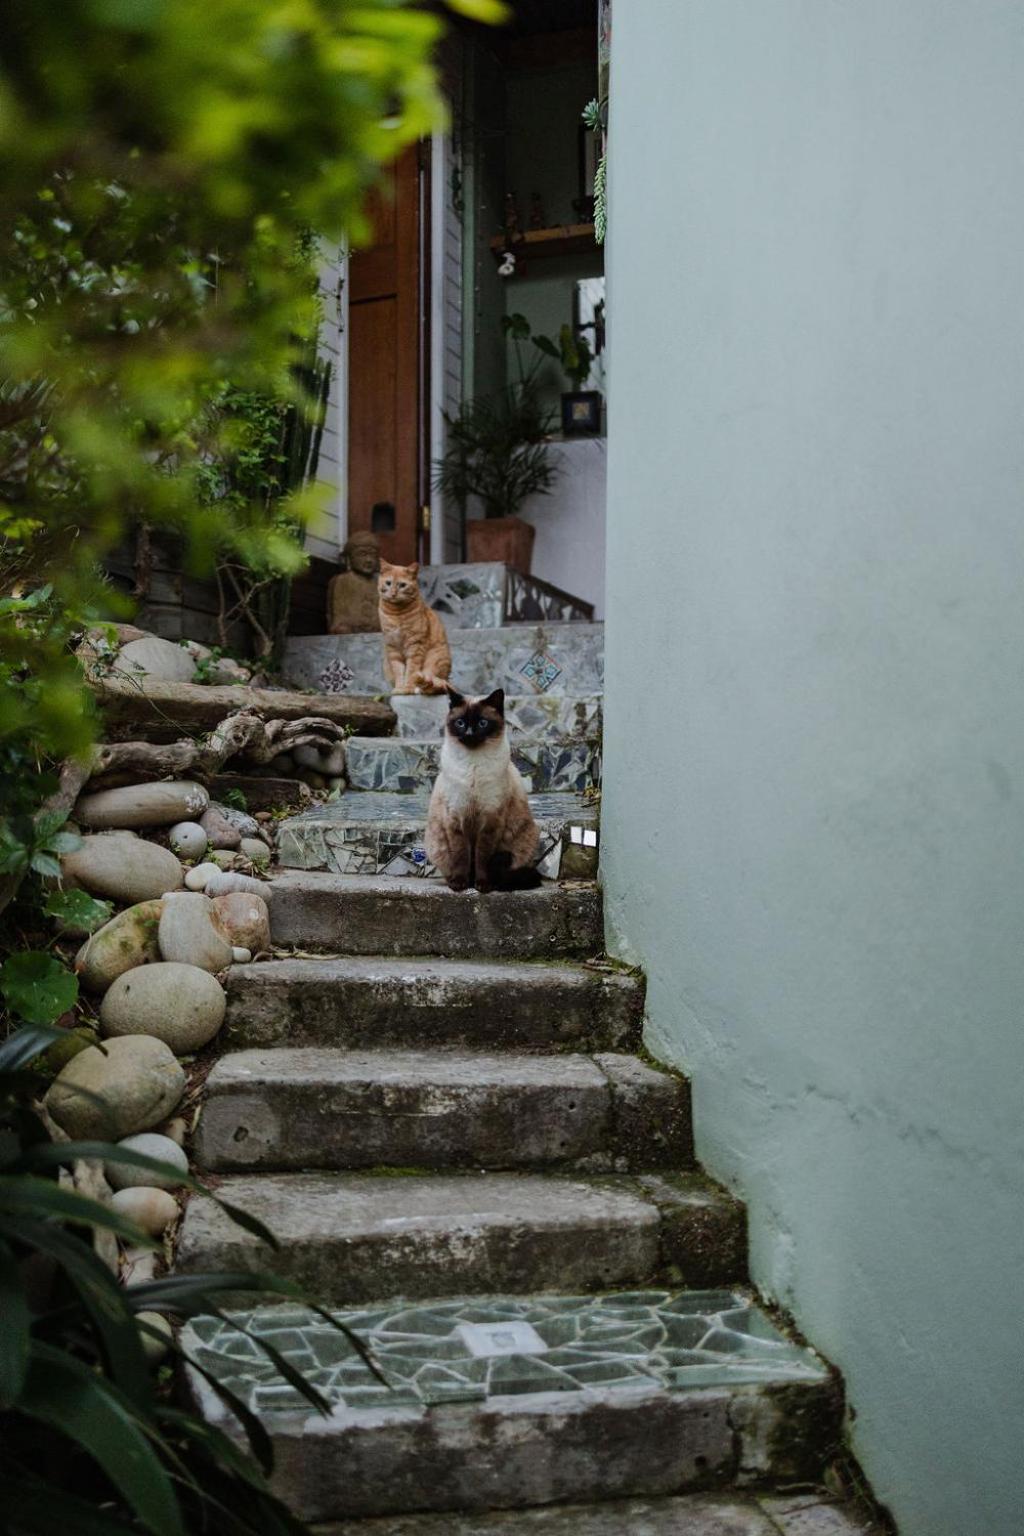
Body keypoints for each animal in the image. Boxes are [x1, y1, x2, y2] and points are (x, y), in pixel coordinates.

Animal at [379, 565, 451, 697]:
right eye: (388, 583)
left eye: (402, 585)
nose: (393, 593)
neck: (396, 613)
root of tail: (447, 680)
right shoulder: (392, 647)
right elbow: (398, 670)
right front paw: (399, 689)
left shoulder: (416, 645)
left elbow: (411, 669)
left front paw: (408, 688)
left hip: (434, 660)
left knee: (434, 686)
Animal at [423, 685, 540, 890]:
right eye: (460, 723)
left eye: (483, 723)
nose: (469, 733)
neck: (473, 766)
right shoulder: (456, 818)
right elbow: (462, 855)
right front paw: (460, 884)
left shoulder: (490, 820)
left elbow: (482, 858)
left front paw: (482, 885)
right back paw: (459, 881)